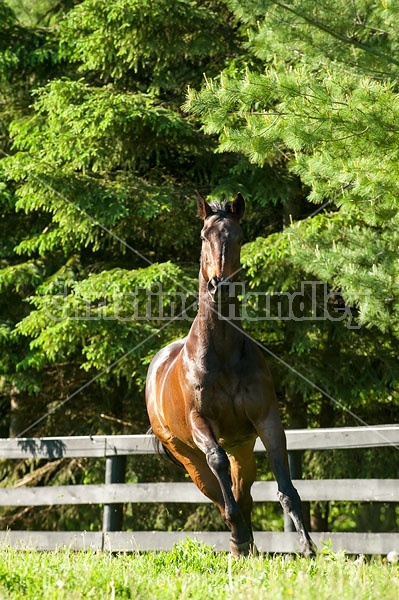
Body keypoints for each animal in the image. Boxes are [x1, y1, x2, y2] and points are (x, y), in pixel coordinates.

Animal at [145, 193, 318, 556]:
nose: (220, 286)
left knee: (242, 492)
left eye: (238, 237)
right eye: (203, 236)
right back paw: (239, 540)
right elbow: (218, 463)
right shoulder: (200, 422)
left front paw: (308, 547)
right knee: (219, 495)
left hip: (242, 448)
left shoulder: (266, 419)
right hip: (187, 456)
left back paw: (248, 545)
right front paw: (239, 536)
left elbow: (286, 487)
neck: (222, 355)